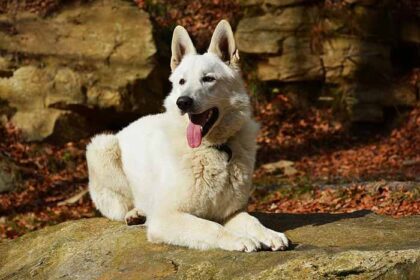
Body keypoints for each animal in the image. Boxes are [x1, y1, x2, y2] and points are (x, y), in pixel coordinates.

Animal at [86, 19, 288, 252]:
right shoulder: (166, 218)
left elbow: (253, 221)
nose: (182, 102)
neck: (214, 148)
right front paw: (240, 240)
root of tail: (126, 128)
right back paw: (136, 213)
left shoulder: (232, 212)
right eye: (182, 82)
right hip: (102, 147)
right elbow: (212, 227)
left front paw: (269, 234)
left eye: (208, 79)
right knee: (122, 205)